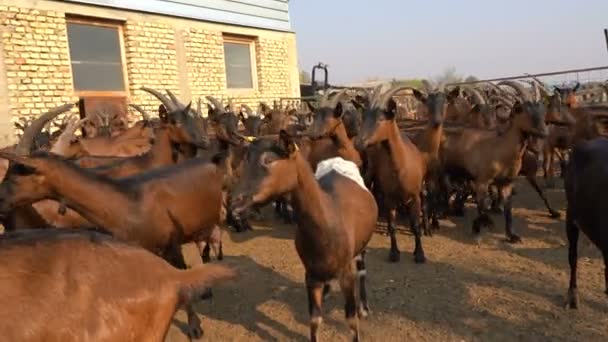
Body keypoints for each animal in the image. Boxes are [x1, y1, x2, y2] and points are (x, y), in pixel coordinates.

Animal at [232, 134, 378, 342]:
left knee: (362, 271)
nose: (235, 203)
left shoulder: (345, 274)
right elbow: (314, 319)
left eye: (269, 160)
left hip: (361, 247)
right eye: (246, 159)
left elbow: (350, 319)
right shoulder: (310, 273)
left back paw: (364, 308)